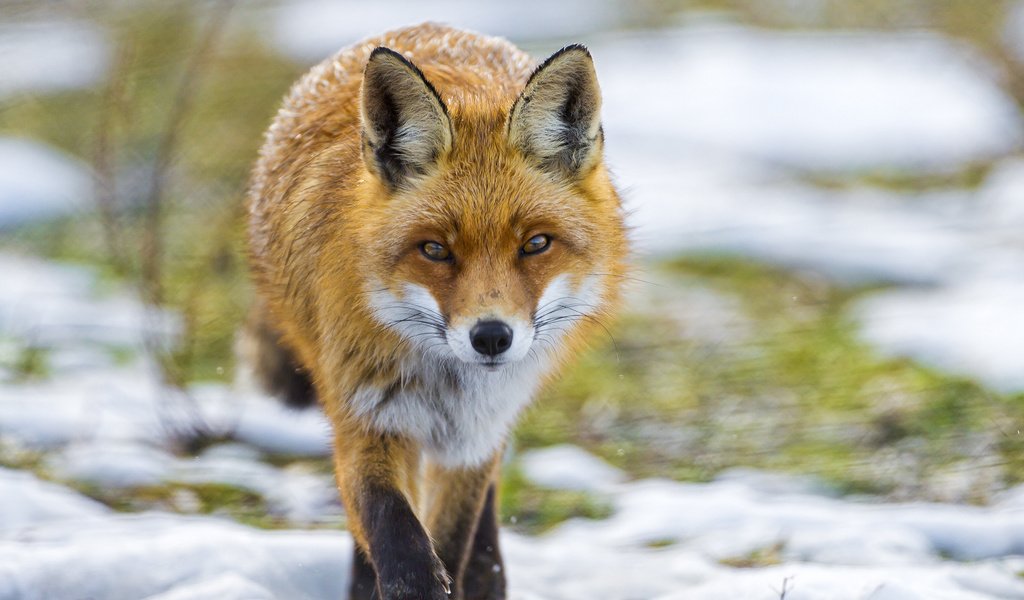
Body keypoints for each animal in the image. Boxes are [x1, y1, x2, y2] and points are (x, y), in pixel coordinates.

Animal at [245, 20, 630, 593]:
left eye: (536, 244)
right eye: (434, 249)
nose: (491, 336)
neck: (445, 385)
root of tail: (429, 27)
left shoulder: (473, 441)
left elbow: (453, 541)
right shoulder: (364, 418)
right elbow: (396, 537)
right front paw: (411, 577)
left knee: (485, 546)